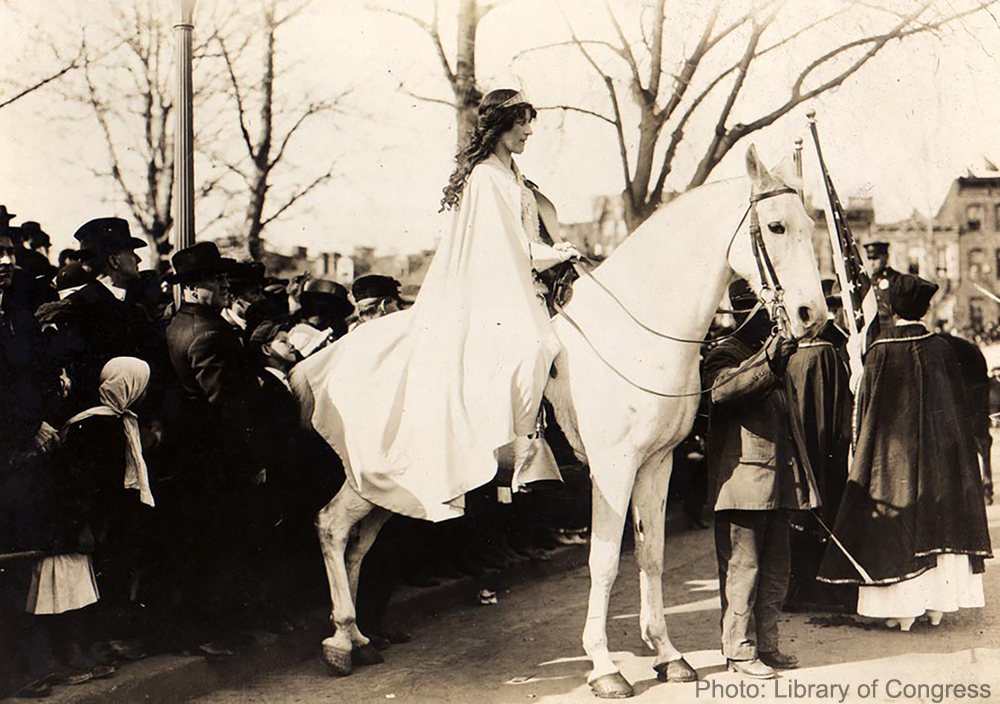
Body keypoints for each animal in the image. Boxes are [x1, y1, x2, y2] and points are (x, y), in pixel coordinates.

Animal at [296, 146, 828, 700]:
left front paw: (668, 655)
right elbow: (605, 561)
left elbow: (652, 555)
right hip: (373, 477)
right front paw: (605, 667)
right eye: (776, 226)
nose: (812, 314)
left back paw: (357, 637)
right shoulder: (612, 470)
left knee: (357, 542)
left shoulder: (656, 464)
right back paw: (340, 642)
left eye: (811, 224)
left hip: (397, 487)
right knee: (331, 527)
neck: (634, 334)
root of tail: (326, 359)